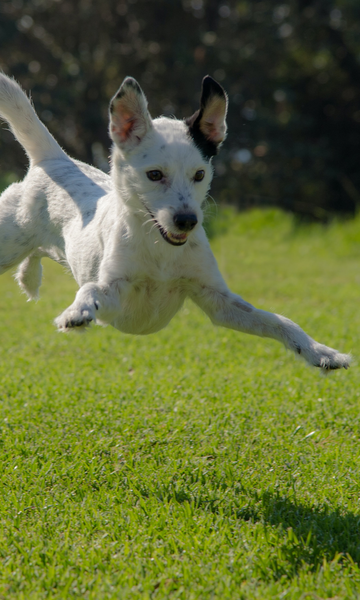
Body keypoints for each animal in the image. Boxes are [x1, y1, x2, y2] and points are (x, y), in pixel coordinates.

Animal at [0, 70, 350, 370]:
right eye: (155, 175)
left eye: (200, 174)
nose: (187, 221)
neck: (161, 250)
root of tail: (54, 160)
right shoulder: (114, 297)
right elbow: (91, 291)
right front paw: (77, 311)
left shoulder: (218, 302)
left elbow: (279, 320)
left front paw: (320, 352)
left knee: (38, 253)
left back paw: (28, 277)